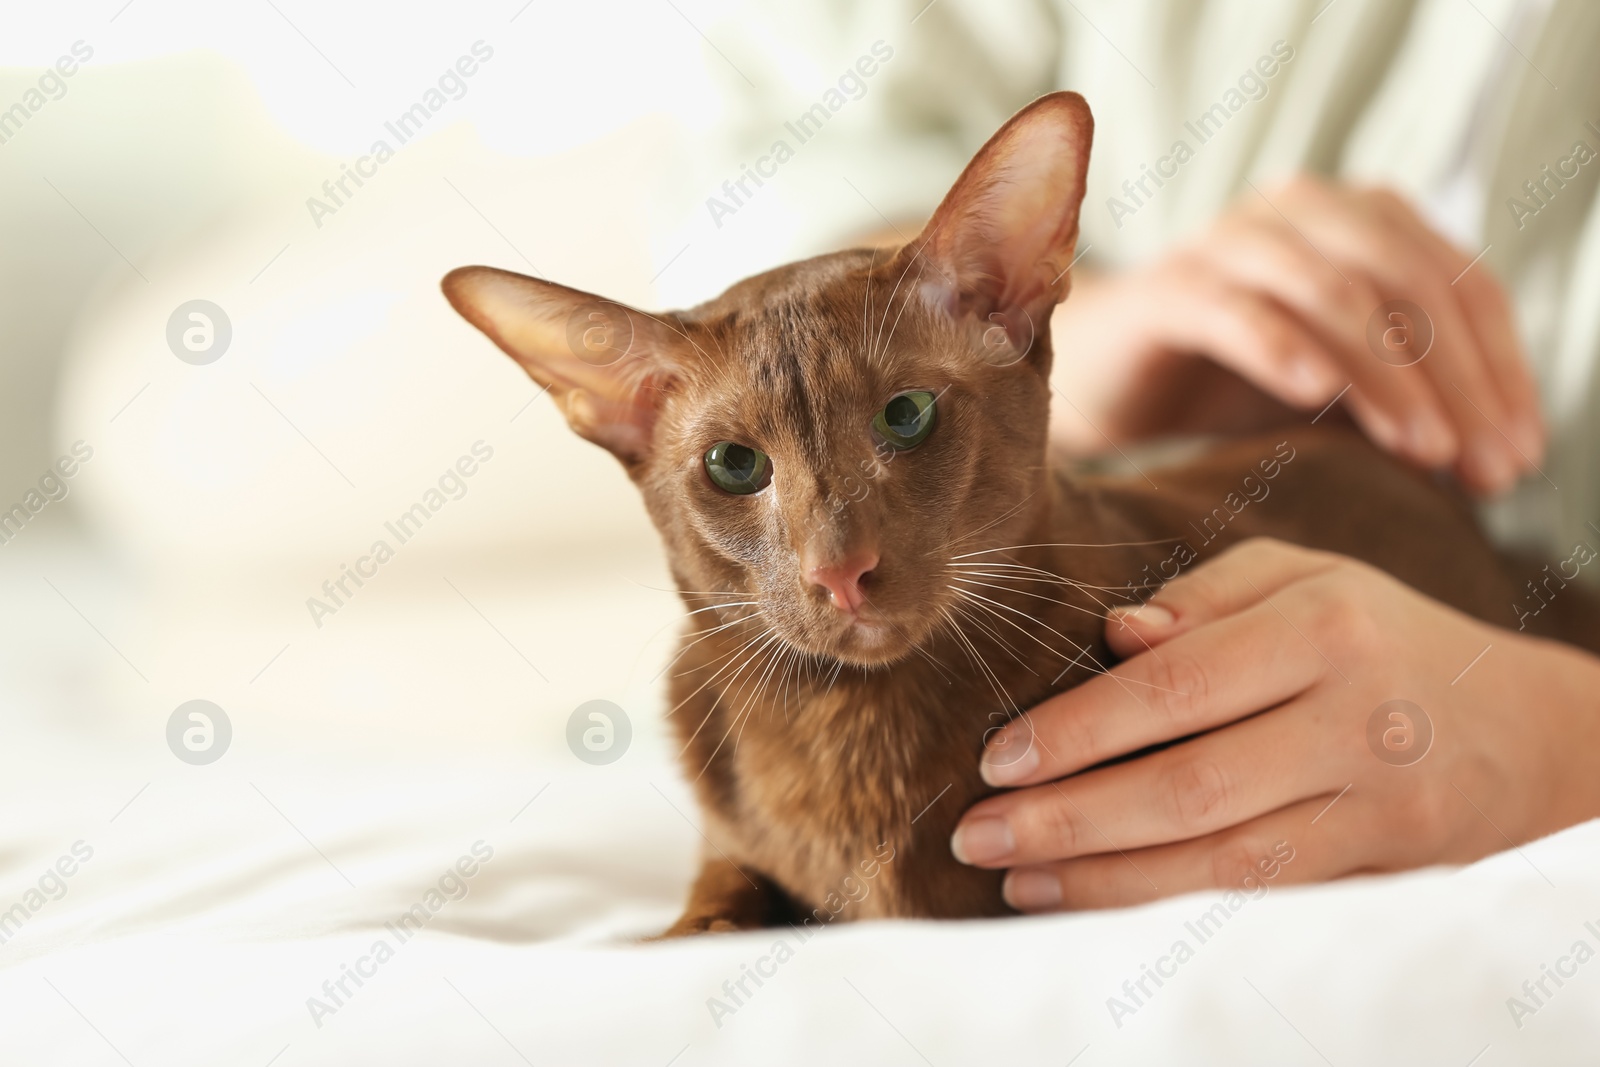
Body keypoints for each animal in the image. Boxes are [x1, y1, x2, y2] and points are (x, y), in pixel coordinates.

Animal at [441, 95, 1600, 940]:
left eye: (906, 415)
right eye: (734, 466)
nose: (839, 571)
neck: (845, 732)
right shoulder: (732, 844)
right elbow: (709, 908)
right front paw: (685, 935)